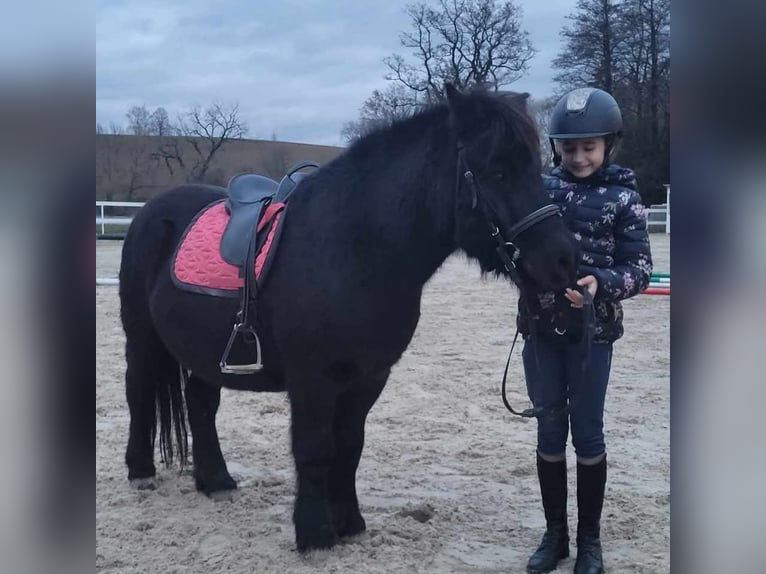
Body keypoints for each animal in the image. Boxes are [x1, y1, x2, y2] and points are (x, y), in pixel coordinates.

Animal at [120, 82, 576, 552]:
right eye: (497, 171)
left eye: (536, 169)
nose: (565, 259)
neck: (356, 247)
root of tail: (151, 211)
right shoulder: (313, 379)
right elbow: (315, 449)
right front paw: (315, 534)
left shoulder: (368, 377)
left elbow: (349, 447)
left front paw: (349, 522)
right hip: (141, 335)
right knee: (139, 391)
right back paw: (141, 472)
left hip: (204, 348)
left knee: (200, 402)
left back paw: (215, 480)